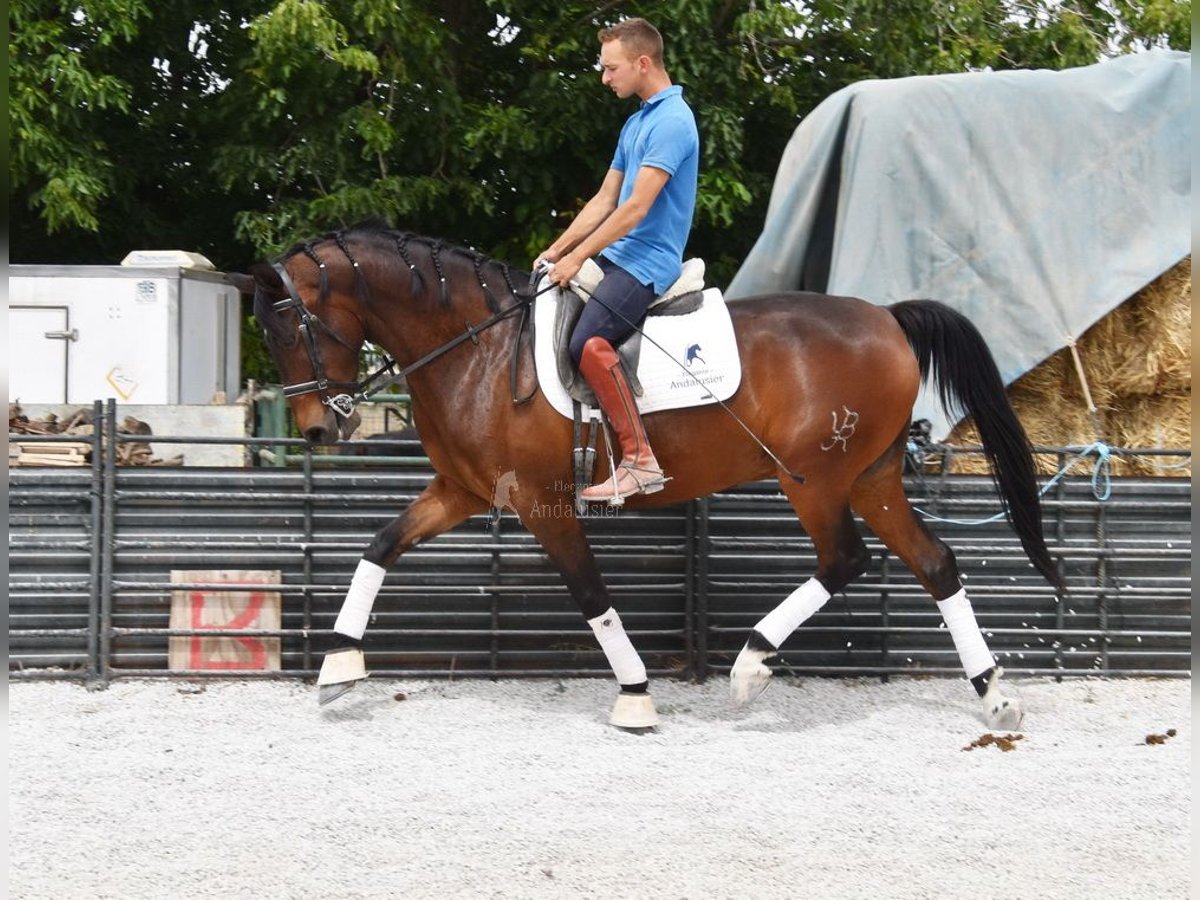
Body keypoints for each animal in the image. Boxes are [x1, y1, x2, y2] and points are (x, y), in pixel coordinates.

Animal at [229, 222, 1065, 734]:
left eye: (290, 326)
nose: (317, 428)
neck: (476, 347)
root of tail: (888, 318)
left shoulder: (542, 502)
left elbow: (590, 593)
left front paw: (634, 695)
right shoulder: (464, 491)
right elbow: (379, 545)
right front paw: (340, 664)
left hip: (816, 479)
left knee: (845, 559)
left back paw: (750, 667)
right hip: (871, 479)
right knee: (935, 563)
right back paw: (996, 698)